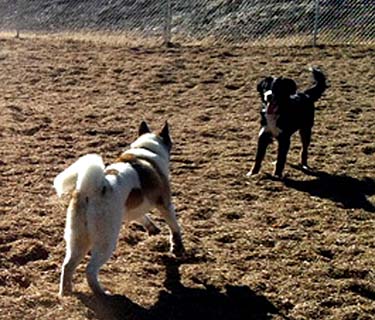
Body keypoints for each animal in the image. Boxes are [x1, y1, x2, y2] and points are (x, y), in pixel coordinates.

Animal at [53, 121, 186, 296]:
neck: (146, 150)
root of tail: (91, 189)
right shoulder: (165, 204)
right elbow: (175, 227)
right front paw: (177, 247)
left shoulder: (131, 211)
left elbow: (143, 217)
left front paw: (152, 229)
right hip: (105, 240)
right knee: (90, 270)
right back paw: (101, 293)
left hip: (77, 239)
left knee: (67, 266)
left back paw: (65, 293)